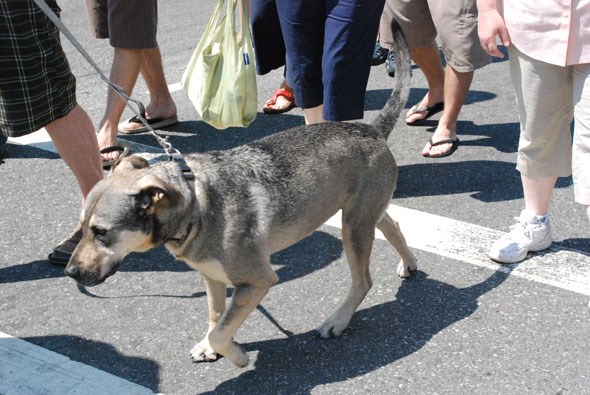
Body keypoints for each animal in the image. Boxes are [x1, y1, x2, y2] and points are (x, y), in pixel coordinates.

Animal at [65, 24, 416, 368]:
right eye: (81, 228)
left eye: (101, 232)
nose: (70, 273)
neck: (197, 207)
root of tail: (373, 130)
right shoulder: (211, 275)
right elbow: (216, 315)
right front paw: (210, 346)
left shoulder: (258, 280)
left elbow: (222, 330)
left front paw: (236, 355)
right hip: (360, 213)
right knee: (393, 225)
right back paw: (409, 263)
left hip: (353, 228)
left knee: (363, 281)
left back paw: (338, 320)